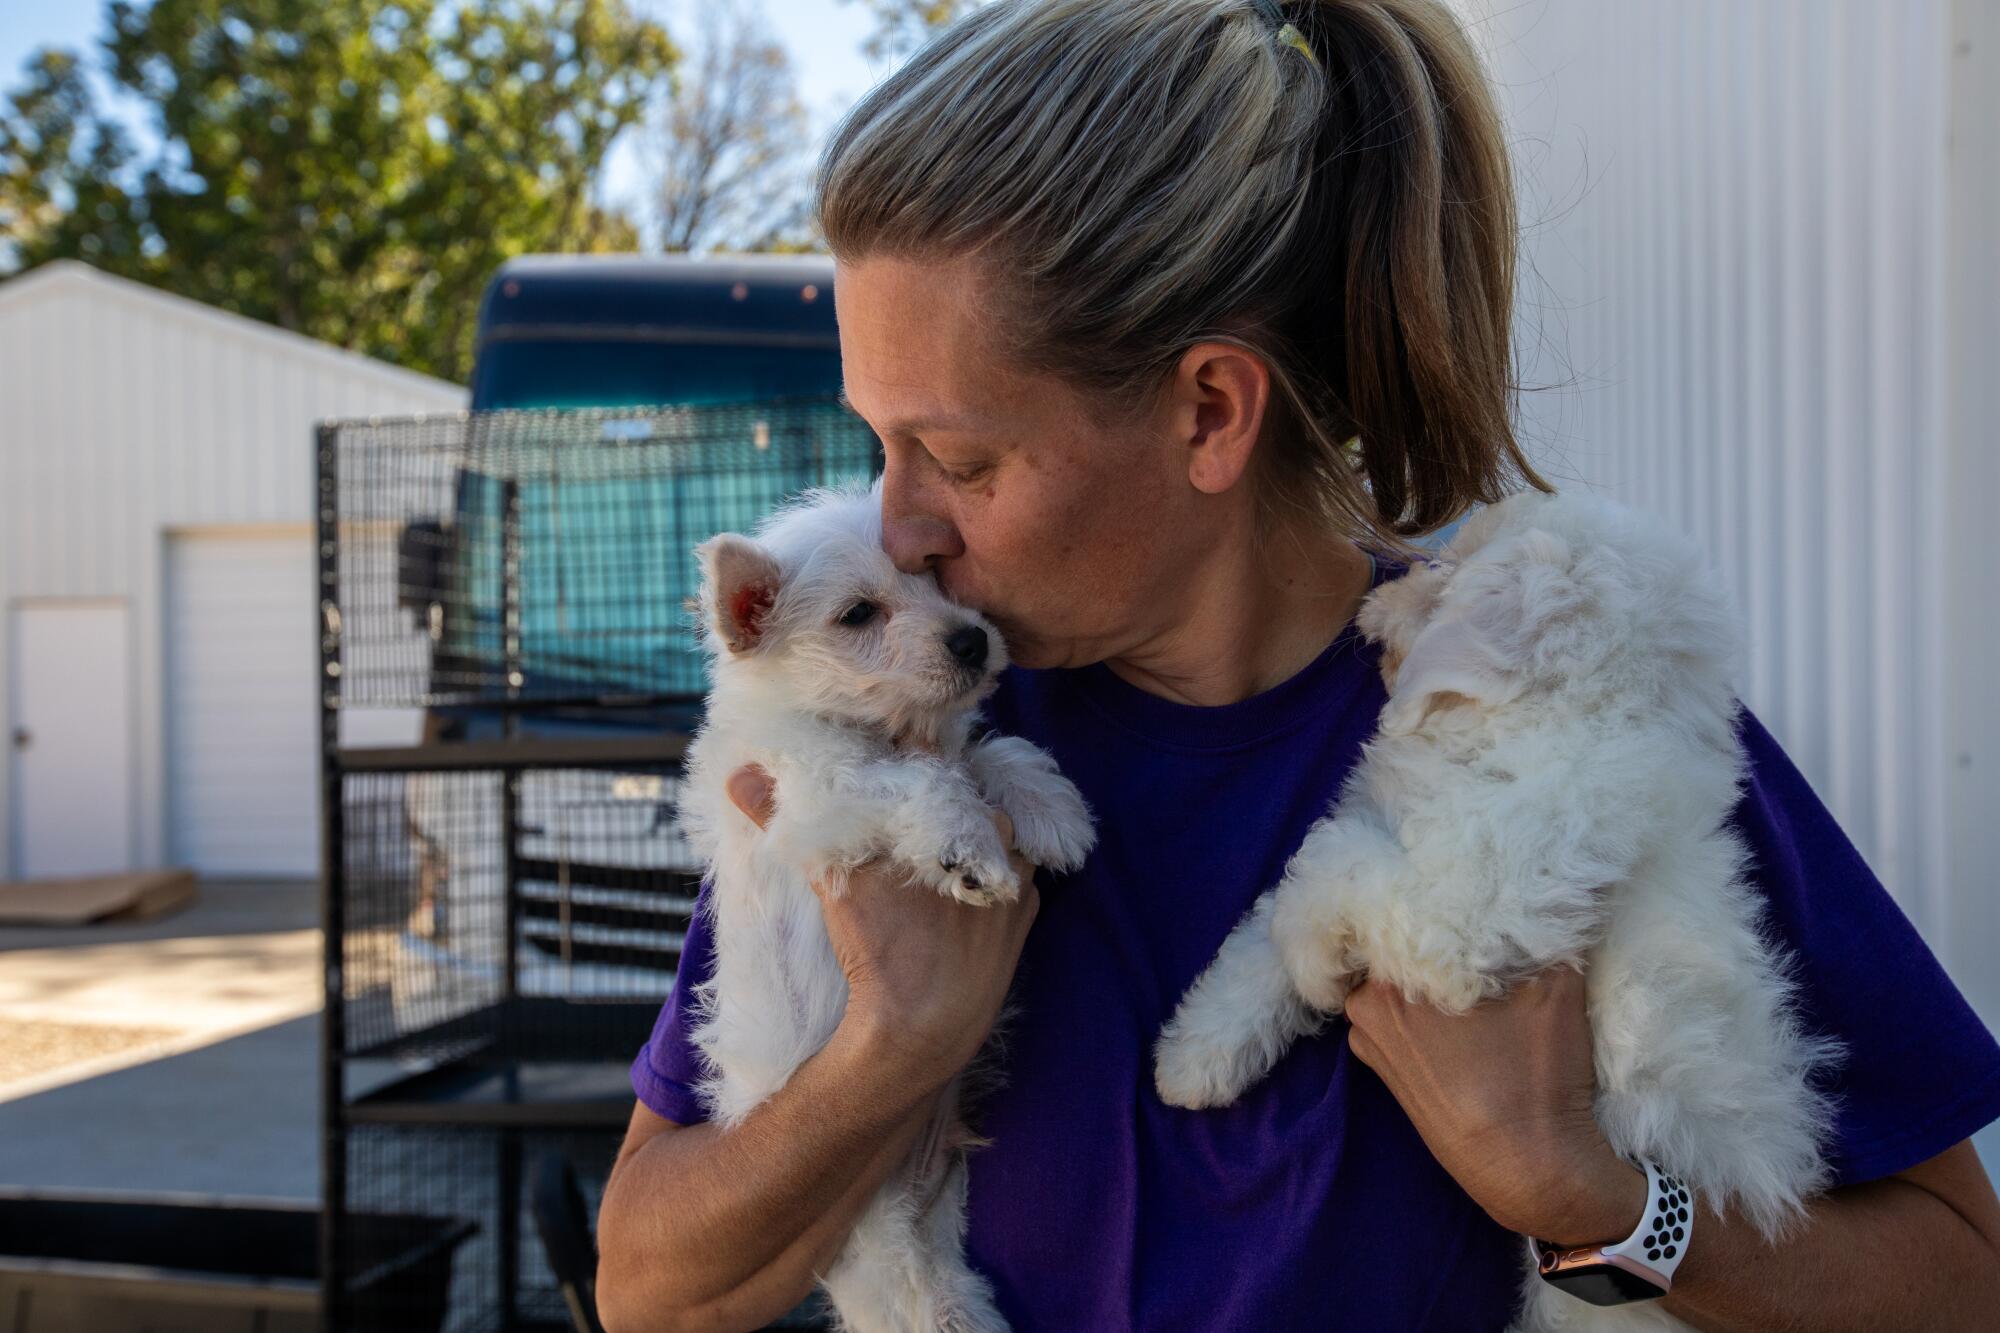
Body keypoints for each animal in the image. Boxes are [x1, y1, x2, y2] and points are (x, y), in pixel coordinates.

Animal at [676, 480, 1096, 1328]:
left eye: (938, 577)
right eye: (858, 614)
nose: (972, 640)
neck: (879, 727)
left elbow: (984, 750)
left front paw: (1051, 808)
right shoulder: (817, 795)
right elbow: (923, 779)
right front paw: (969, 850)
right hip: (873, 1232)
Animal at [1152, 490, 1832, 1328]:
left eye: (1447, 567)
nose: (1381, 593)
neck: (1552, 720)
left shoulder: (1463, 908)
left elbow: (1322, 876)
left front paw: (1314, 972)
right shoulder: (1388, 821)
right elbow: (1276, 917)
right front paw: (1194, 1057)